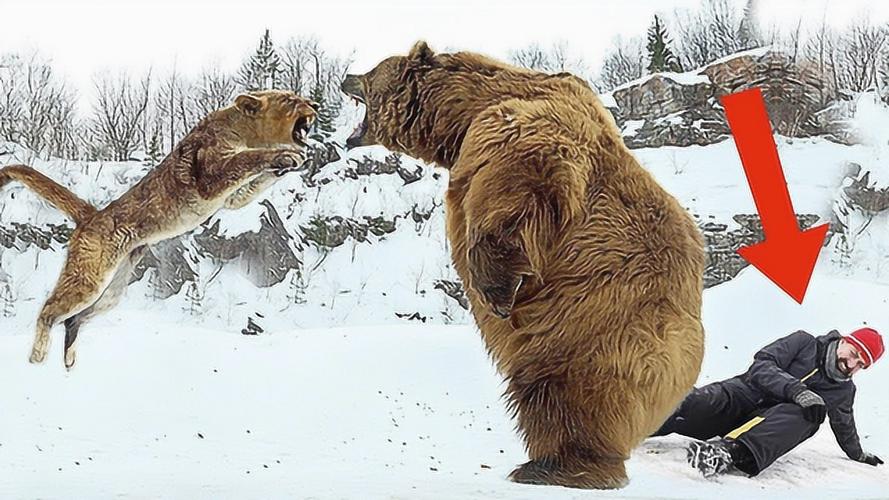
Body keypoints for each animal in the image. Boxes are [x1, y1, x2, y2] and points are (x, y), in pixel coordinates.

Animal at [0, 90, 317, 369]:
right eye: (290, 100)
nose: (313, 104)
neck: (242, 129)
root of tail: (93, 215)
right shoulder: (211, 177)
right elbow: (246, 160)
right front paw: (285, 155)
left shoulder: (233, 197)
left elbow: (254, 182)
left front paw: (292, 160)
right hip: (89, 277)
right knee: (50, 309)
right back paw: (38, 355)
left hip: (113, 289)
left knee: (73, 318)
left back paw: (68, 361)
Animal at [341, 42, 706, 489]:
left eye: (372, 71)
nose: (345, 77)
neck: (460, 118)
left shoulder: (519, 127)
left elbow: (518, 185)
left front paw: (494, 290)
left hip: (595, 324)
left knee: (563, 393)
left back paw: (558, 466)